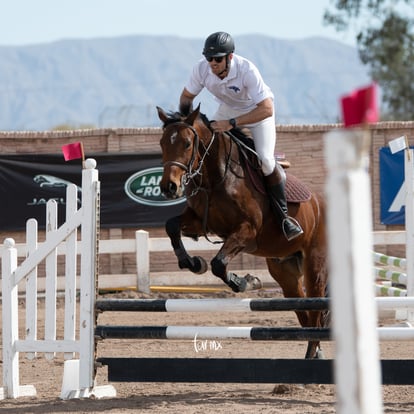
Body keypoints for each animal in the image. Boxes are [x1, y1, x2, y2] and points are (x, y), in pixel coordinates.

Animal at [157, 104, 328, 360]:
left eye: (187, 144)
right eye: (162, 143)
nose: (169, 187)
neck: (216, 177)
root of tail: (320, 203)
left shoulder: (246, 231)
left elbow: (219, 264)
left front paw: (245, 282)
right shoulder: (201, 222)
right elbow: (171, 226)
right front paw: (193, 263)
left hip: (314, 266)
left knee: (316, 311)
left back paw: (311, 357)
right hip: (285, 271)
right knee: (304, 312)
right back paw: (315, 353)